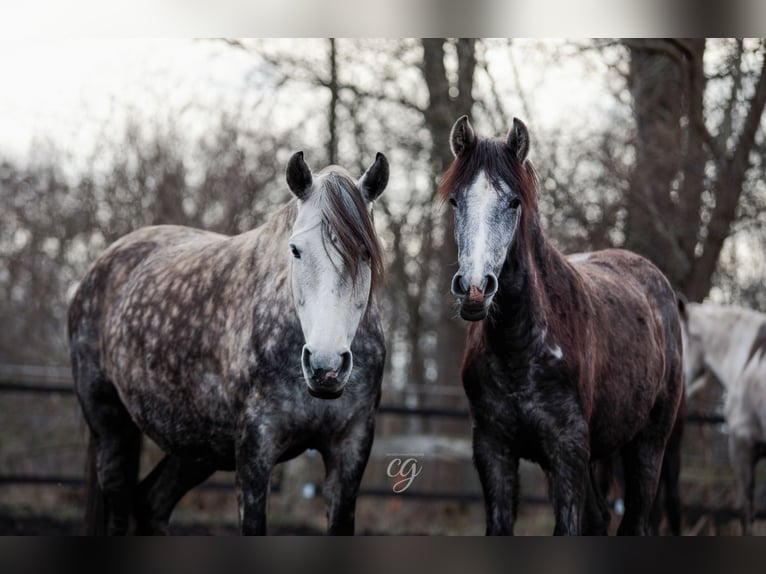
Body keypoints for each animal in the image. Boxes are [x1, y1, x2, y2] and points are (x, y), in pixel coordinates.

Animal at [68, 152, 390, 536]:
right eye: (295, 250)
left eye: (367, 252)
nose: (325, 366)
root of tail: (101, 267)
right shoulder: (255, 448)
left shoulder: (351, 450)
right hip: (111, 426)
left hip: (197, 444)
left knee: (151, 503)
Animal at [440, 116, 688, 536]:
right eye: (456, 200)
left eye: (514, 202)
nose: (474, 288)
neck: (520, 350)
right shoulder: (493, 451)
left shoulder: (567, 450)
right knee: (600, 518)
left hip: (648, 446)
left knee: (634, 521)